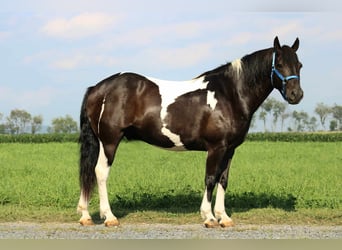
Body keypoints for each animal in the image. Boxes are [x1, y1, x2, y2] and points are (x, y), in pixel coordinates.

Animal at [77, 36, 302, 228]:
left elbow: (223, 180)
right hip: (109, 141)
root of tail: (98, 88)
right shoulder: (216, 148)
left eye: (299, 65)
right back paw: (109, 217)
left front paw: (224, 217)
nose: (296, 94)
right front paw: (209, 217)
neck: (230, 94)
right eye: (279, 64)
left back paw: (86, 216)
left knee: (89, 172)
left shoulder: (230, 149)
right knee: (100, 172)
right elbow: (210, 178)